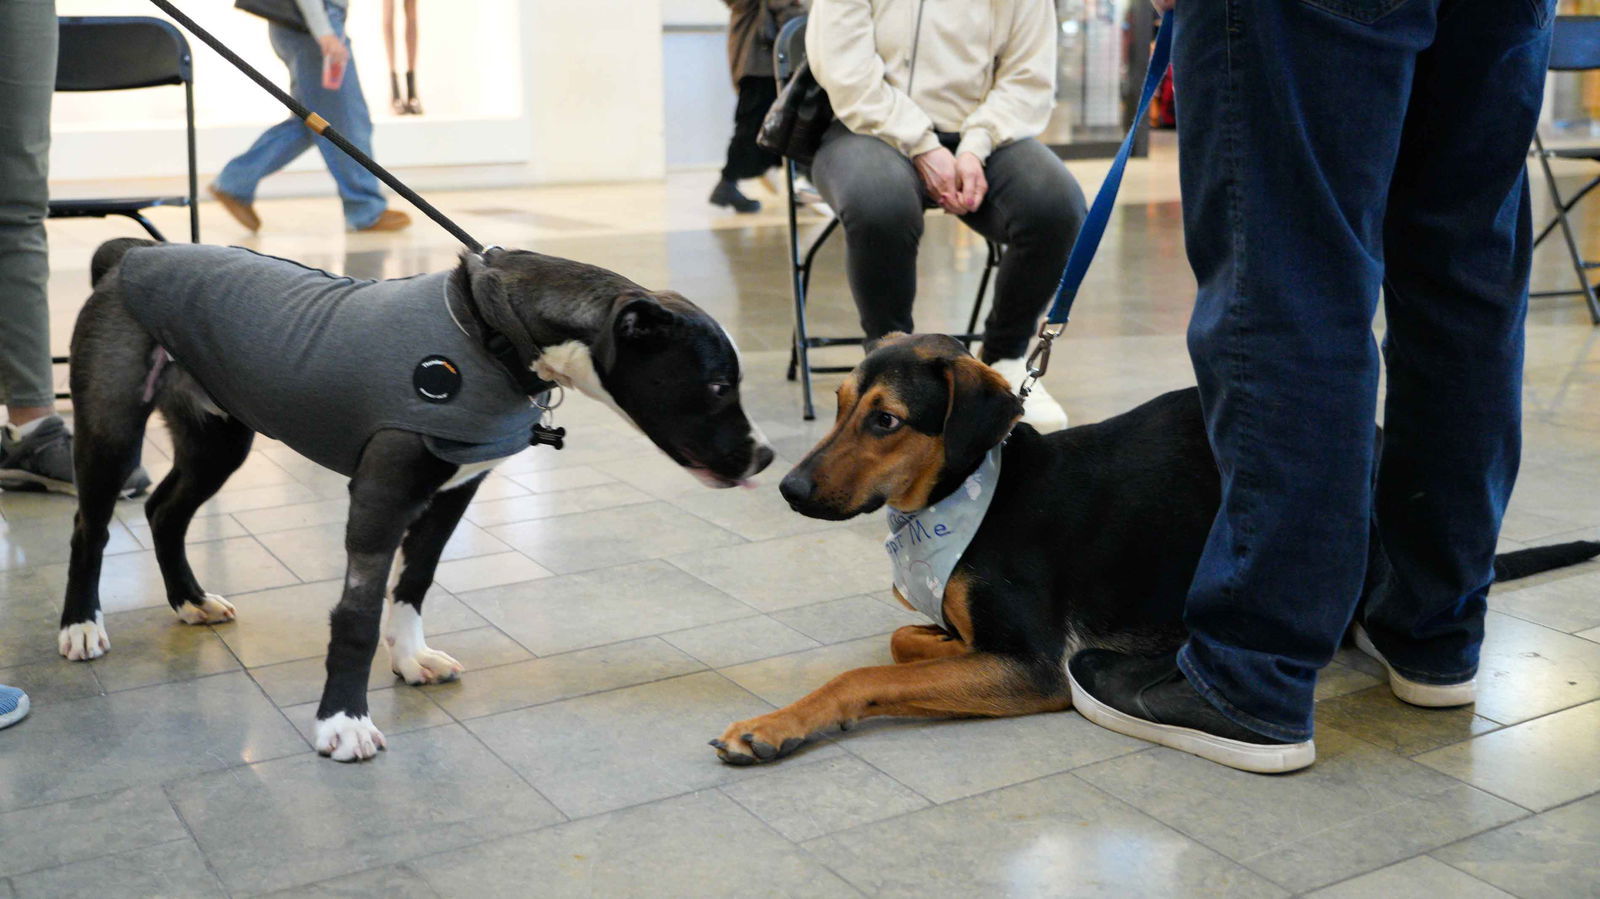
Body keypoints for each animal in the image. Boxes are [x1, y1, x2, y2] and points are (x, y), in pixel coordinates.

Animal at [65, 236, 777, 755]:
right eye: (718, 386)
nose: (767, 457)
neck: (493, 335)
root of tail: (130, 254)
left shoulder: (453, 493)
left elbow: (415, 582)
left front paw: (408, 658)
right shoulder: (380, 496)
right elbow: (356, 615)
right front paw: (342, 720)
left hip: (218, 438)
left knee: (165, 510)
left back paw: (189, 599)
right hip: (111, 429)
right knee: (90, 526)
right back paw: (81, 624)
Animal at [716, 334, 1600, 761]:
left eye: (886, 420)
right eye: (836, 405)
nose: (788, 485)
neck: (968, 488)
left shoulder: (1033, 667)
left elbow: (866, 672)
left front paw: (772, 726)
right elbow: (906, 639)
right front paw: (932, 642)